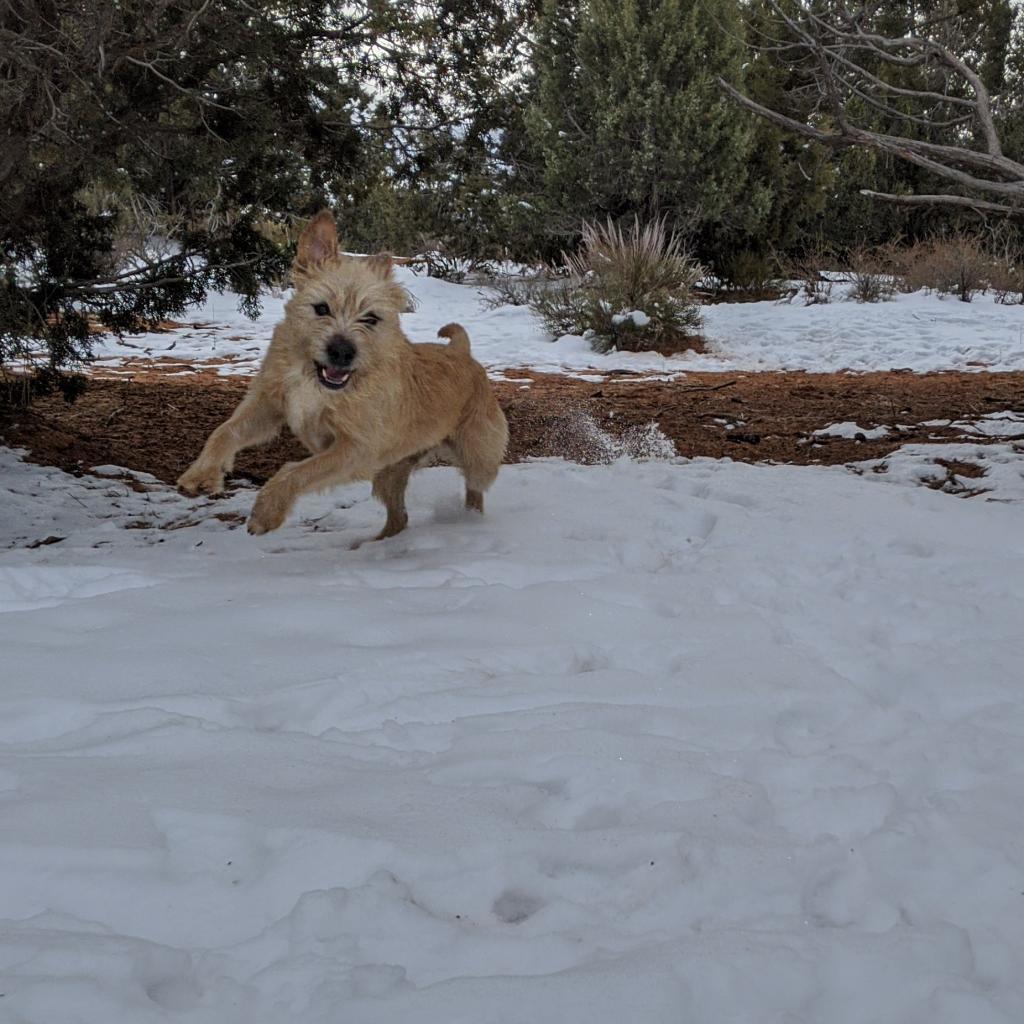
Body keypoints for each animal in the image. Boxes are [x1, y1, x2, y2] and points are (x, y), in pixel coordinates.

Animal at [180, 209, 512, 544]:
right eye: (322, 308)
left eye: (371, 318)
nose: (342, 352)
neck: (316, 381)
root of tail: (462, 351)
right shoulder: (268, 407)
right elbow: (225, 431)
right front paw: (201, 474)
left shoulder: (356, 450)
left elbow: (296, 470)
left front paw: (267, 511)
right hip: (390, 473)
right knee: (400, 518)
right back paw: (373, 545)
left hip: (477, 458)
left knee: (475, 489)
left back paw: (468, 520)